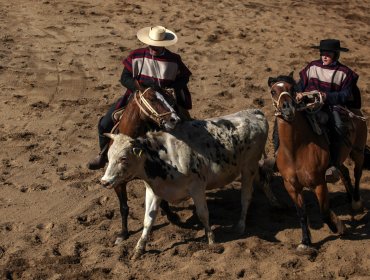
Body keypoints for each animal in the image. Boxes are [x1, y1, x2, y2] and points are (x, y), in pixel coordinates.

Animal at [101, 109, 268, 258]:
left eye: (123, 158)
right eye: (108, 156)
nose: (104, 181)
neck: (164, 157)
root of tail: (255, 112)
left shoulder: (197, 187)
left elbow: (203, 214)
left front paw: (211, 241)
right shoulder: (153, 191)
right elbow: (148, 220)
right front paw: (138, 250)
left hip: (248, 167)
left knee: (246, 197)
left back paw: (240, 225)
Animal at [108, 87, 186, 243]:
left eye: (168, 97)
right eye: (151, 99)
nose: (175, 119)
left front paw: (172, 216)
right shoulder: (117, 182)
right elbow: (123, 207)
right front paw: (123, 233)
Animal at [268, 73, 368, 255]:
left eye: (292, 89)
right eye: (273, 91)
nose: (287, 108)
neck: (296, 150)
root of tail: (354, 112)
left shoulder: (319, 184)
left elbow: (324, 212)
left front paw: (339, 226)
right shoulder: (291, 187)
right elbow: (302, 214)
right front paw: (305, 243)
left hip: (358, 151)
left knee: (357, 173)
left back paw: (356, 201)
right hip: (340, 160)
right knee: (344, 172)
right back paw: (349, 196)